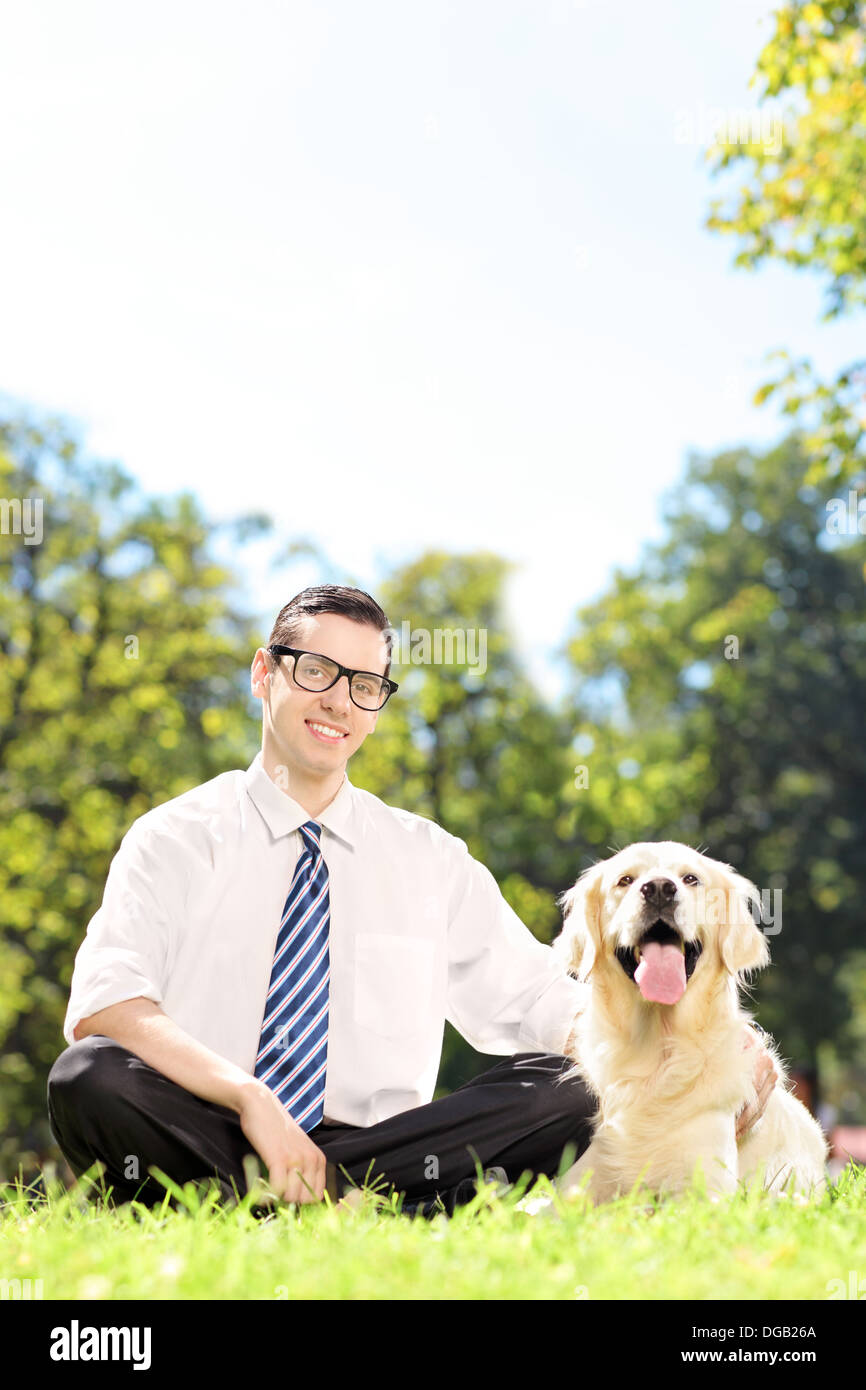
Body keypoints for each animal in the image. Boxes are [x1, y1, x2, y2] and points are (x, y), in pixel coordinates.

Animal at [553, 839, 828, 1200]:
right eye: (625, 880)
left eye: (690, 879)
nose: (659, 889)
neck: (657, 1050)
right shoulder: (577, 1181)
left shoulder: (706, 1188)